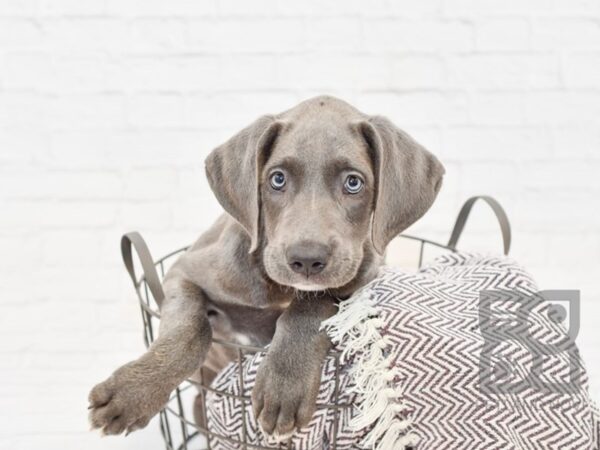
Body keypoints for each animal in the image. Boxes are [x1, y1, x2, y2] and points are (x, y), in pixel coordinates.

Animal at [89, 96, 446, 440]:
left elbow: (314, 302)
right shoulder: (183, 271)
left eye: (353, 183)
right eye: (277, 179)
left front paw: (284, 385)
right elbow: (190, 328)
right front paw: (131, 393)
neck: (281, 289)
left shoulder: (362, 275)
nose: (306, 259)